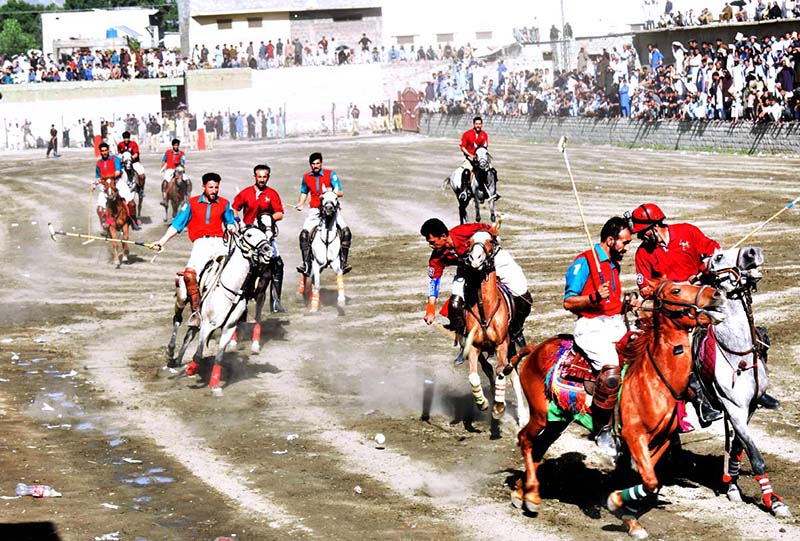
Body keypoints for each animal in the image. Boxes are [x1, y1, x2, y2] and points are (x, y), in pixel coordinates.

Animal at [165, 226, 272, 394]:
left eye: (265, 235)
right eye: (249, 234)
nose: (268, 250)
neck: (231, 289)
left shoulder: (229, 327)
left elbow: (219, 357)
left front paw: (215, 386)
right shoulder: (208, 325)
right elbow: (198, 353)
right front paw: (191, 369)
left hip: (198, 320)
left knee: (189, 335)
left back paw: (178, 360)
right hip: (182, 297)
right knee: (177, 320)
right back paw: (171, 353)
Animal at [456, 226, 524, 424]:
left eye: (490, 241)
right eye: (469, 242)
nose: (475, 259)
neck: (484, 309)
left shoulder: (502, 344)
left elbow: (502, 371)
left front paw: (499, 407)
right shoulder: (473, 347)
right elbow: (473, 376)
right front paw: (483, 402)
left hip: (511, 346)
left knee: (513, 374)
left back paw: (522, 415)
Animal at [512, 278, 724, 536]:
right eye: (676, 290)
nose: (716, 294)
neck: (654, 379)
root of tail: (535, 349)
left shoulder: (662, 439)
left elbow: (643, 477)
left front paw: (630, 518)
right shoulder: (634, 435)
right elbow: (649, 480)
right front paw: (615, 503)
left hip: (557, 420)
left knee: (539, 447)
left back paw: (522, 491)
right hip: (540, 414)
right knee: (525, 439)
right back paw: (531, 494)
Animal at [704, 247, 792, 516]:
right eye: (718, 257)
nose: (753, 252)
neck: (736, 351)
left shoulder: (750, 408)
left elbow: (736, 448)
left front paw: (732, 487)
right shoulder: (734, 409)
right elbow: (755, 457)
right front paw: (772, 500)